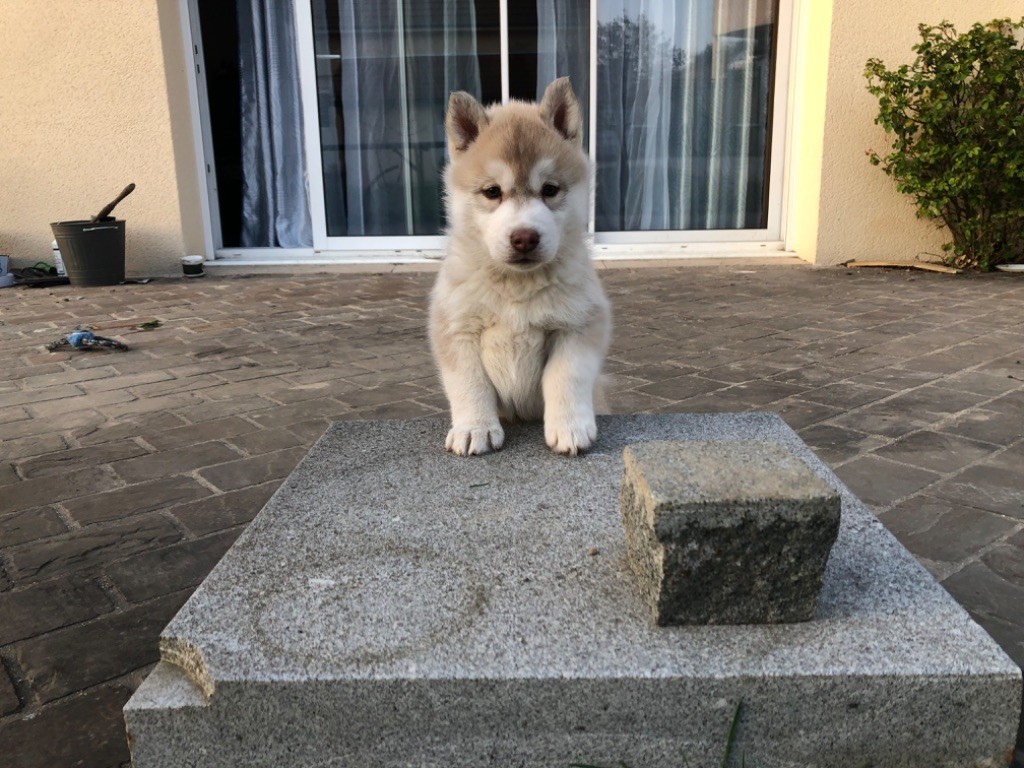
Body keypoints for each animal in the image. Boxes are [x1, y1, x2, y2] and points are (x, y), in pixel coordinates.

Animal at [429, 78, 611, 457]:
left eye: (550, 189)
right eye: (492, 191)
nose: (524, 238)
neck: (516, 285)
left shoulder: (579, 323)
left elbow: (565, 376)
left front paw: (570, 428)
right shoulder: (456, 326)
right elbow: (469, 383)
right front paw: (474, 428)